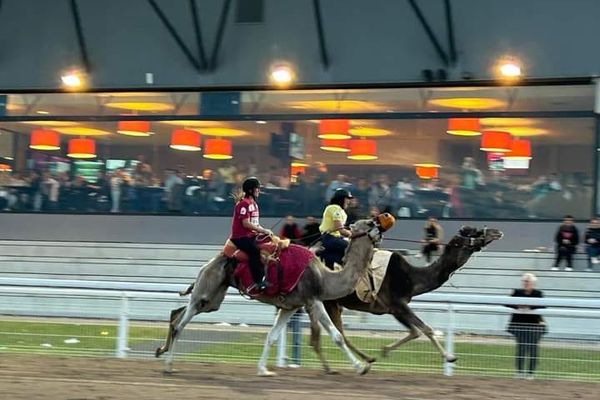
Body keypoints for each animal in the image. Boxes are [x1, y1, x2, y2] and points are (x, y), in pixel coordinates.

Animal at [152, 216, 392, 376]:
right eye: (369, 223)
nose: (382, 226)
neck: (325, 276)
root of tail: (210, 262)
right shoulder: (313, 299)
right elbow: (337, 336)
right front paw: (361, 367)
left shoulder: (290, 306)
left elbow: (272, 336)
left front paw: (263, 370)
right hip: (207, 287)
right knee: (181, 323)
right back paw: (169, 366)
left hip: (214, 296)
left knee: (179, 313)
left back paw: (160, 351)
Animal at [310, 225, 502, 372]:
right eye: (474, 232)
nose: (497, 232)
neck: (411, 277)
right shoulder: (398, 303)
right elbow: (426, 329)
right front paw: (449, 357)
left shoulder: (393, 308)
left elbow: (415, 331)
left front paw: (385, 350)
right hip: (326, 302)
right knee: (329, 334)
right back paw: (337, 366)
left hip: (331, 303)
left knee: (332, 333)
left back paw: (364, 359)